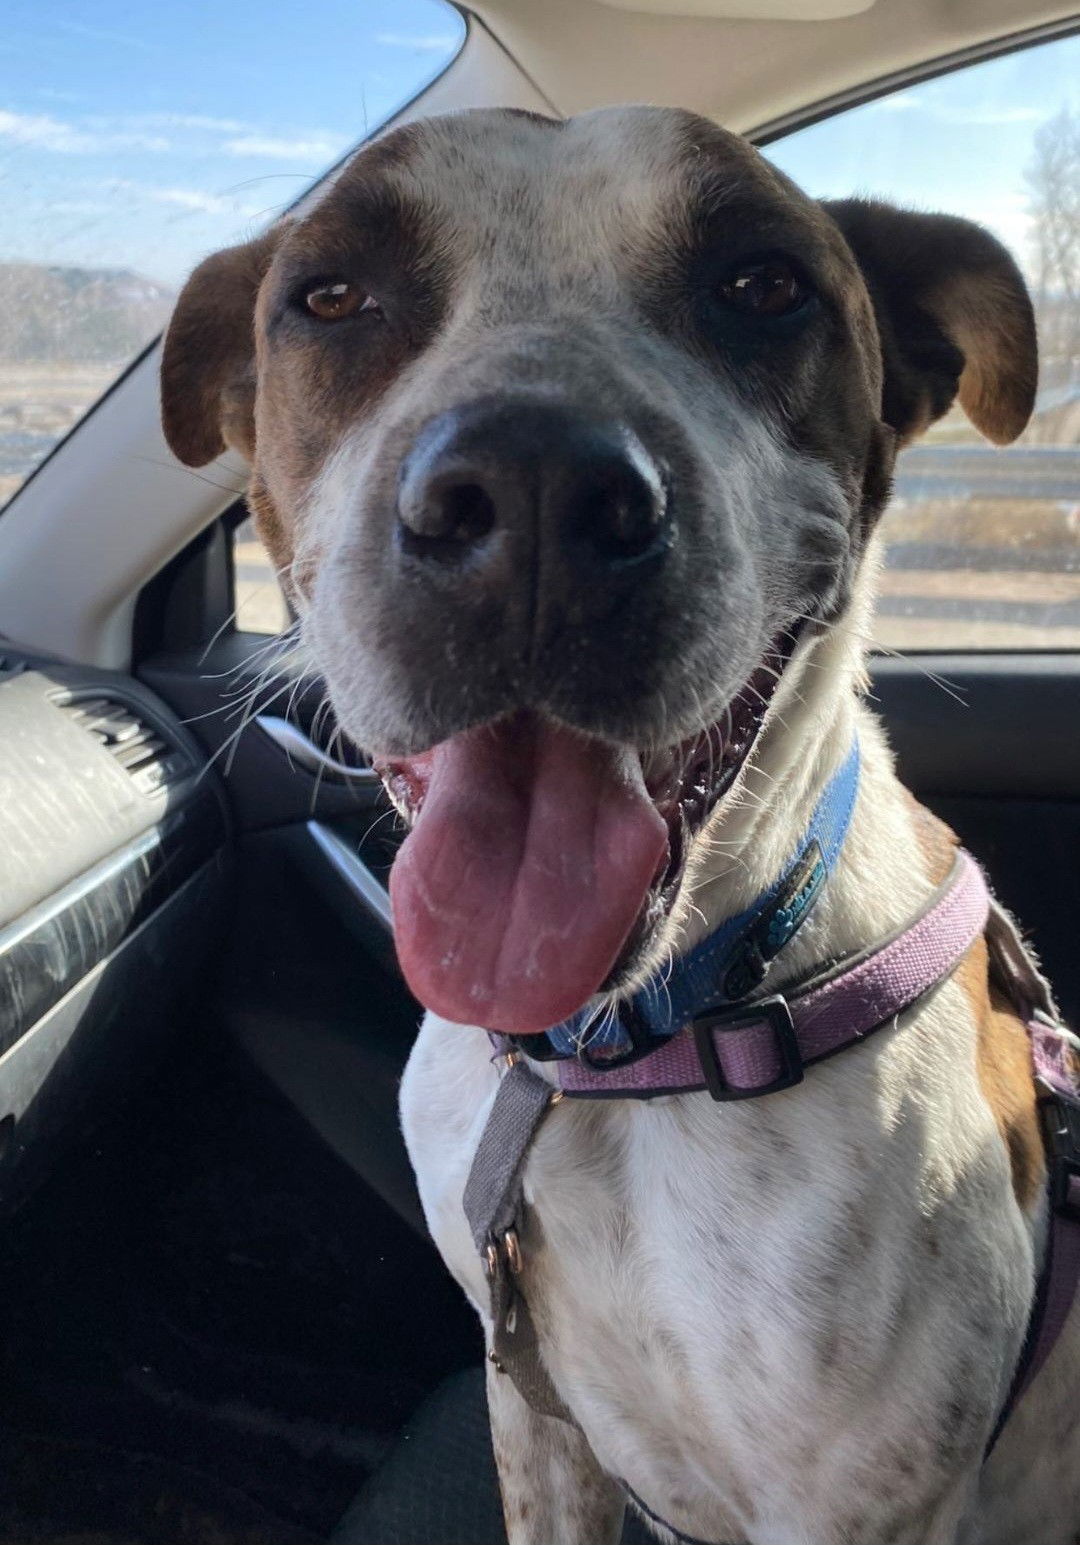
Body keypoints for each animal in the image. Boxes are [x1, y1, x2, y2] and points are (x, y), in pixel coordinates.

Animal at [160, 102, 1080, 1538]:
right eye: (331, 295)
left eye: (762, 285)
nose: (530, 490)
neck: (625, 1057)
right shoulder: (531, 1408)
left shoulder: (859, 1501)